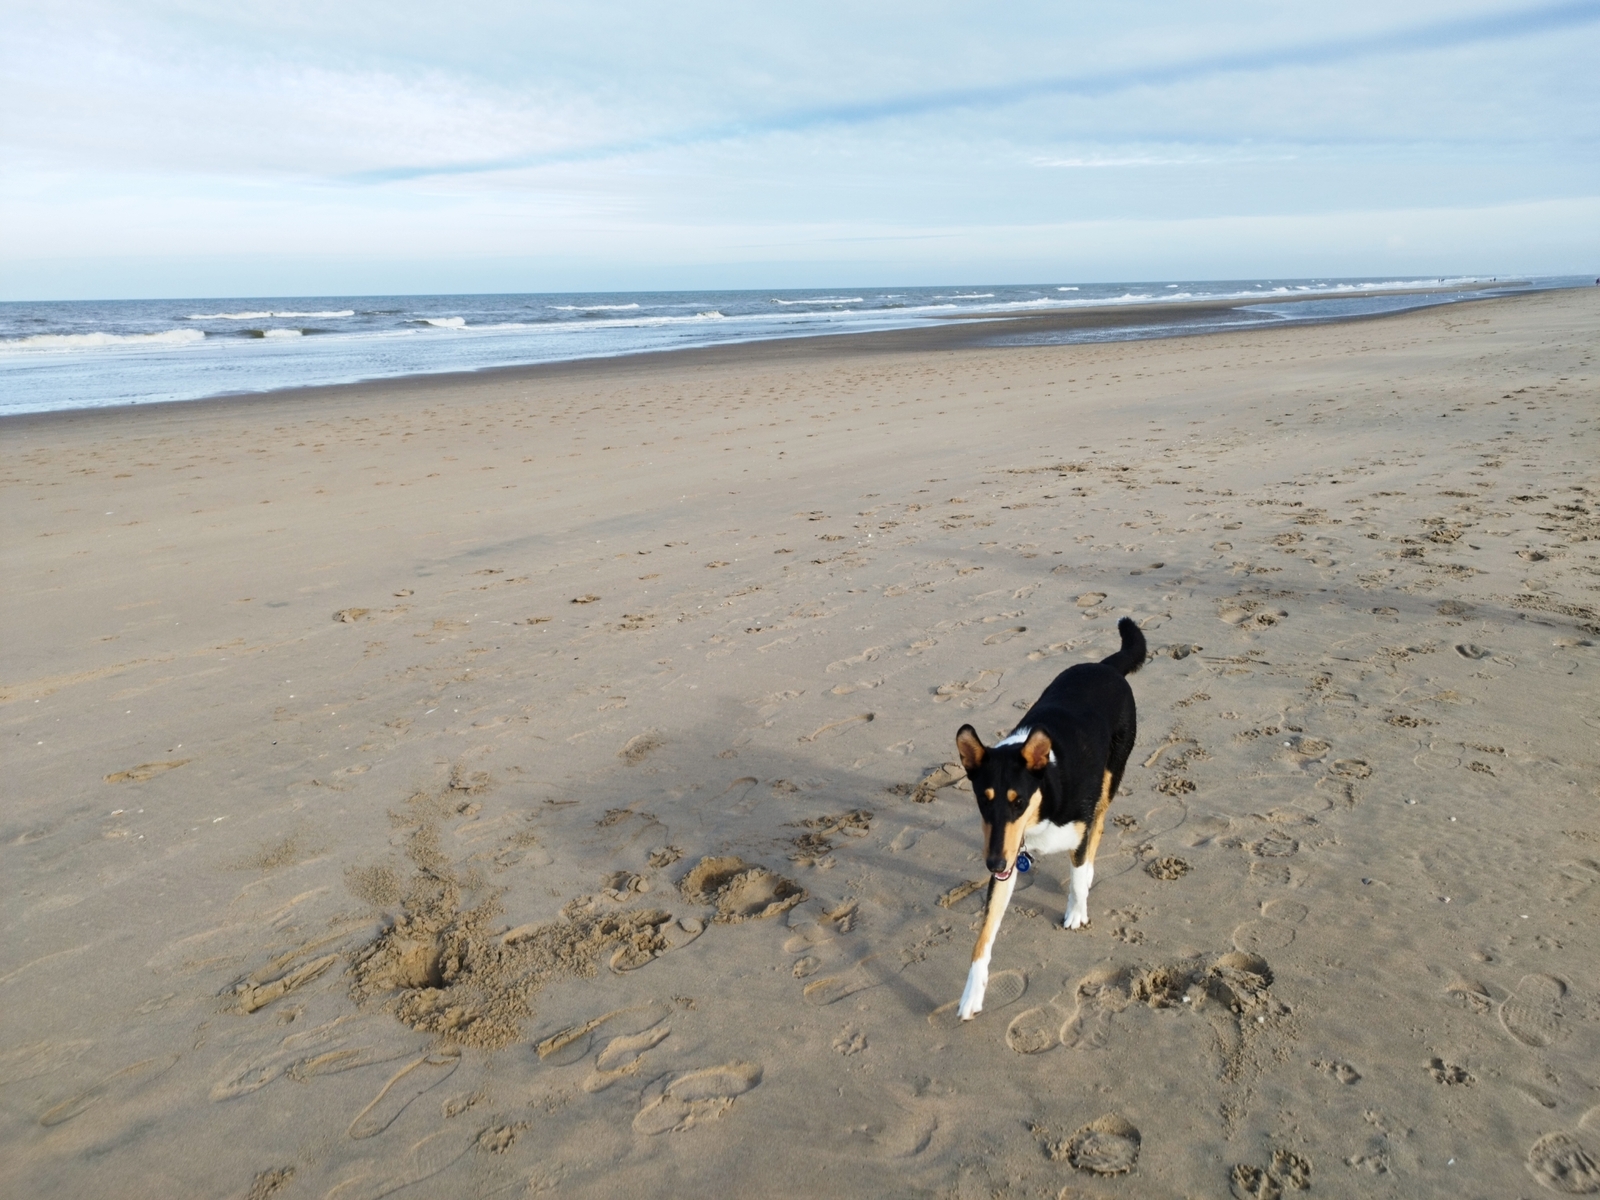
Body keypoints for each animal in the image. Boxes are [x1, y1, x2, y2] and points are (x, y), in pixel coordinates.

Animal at [953, 615, 1145, 1020]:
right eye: (983, 800)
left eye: (1019, 801)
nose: (994, 863)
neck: (1042, 807)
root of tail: (1105, 666)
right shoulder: (1009, 855)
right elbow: (984, 935)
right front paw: (971, 995)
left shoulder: (1072, 826)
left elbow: (1077, 874)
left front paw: (1077, 911)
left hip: (1111, 776)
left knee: (1098, 828)